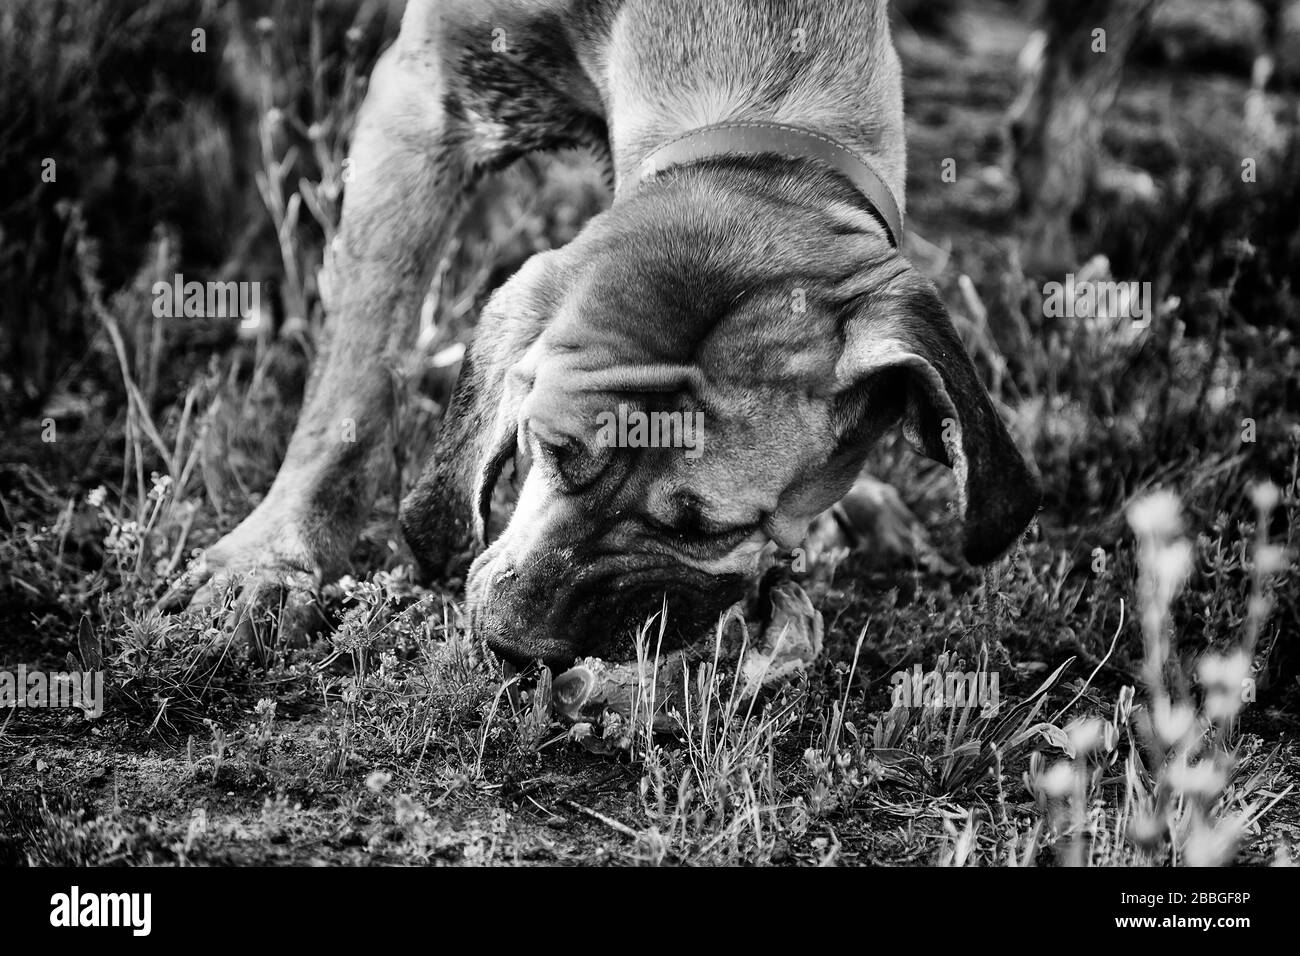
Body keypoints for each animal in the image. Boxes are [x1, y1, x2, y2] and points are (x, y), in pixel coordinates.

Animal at [167, 0, 1040, 671]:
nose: (516, 647)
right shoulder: (424, 93)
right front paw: (273, 559)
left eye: (709, 530)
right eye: (546, 448)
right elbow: (356, 373)